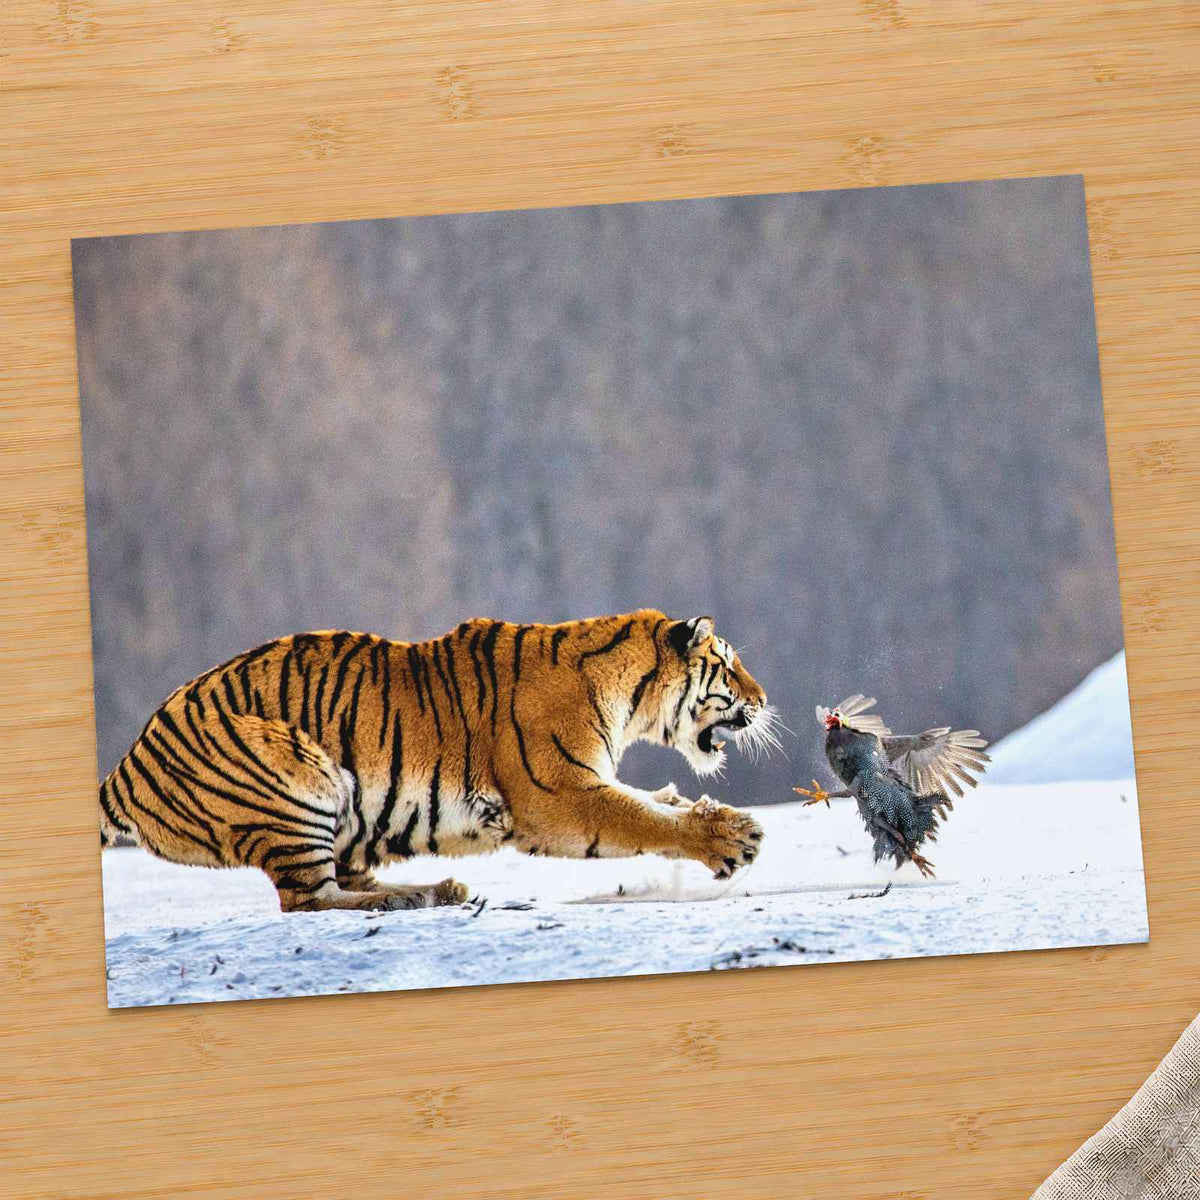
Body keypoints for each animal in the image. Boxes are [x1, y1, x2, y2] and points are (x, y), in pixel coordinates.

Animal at [98, 610, 782, 913]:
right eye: (728, 666)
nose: (764, 699)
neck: (629, 695)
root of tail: (127, 761)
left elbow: (657, 802)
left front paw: (716, 816)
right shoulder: (561, 795)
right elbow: (642, 819)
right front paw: (732, 840)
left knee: (343, 881)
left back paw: (438, 890)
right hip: (295, 776)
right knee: (309, 899)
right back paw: (408, 901)